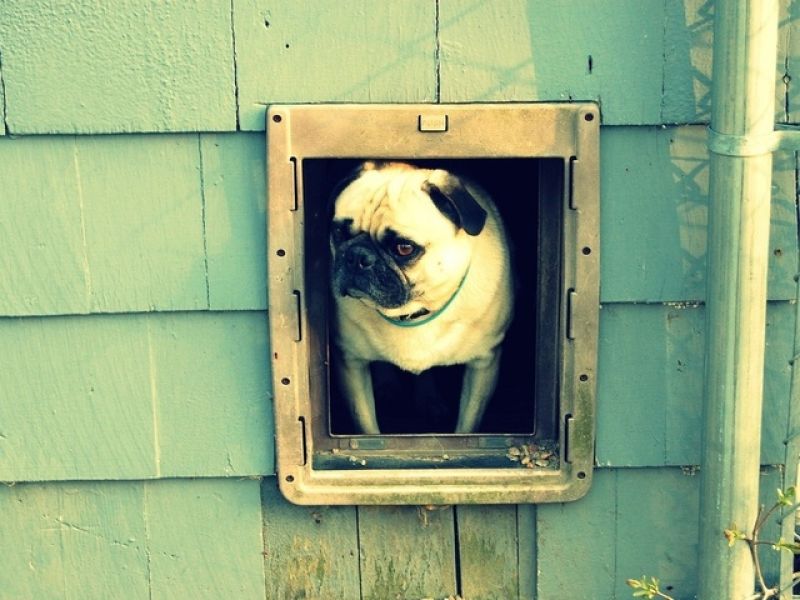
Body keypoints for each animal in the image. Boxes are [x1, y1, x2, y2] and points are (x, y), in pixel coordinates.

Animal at [330, 161, 512, 432]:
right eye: (339, 233)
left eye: (404, 248)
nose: (357, 256)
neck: (413, 312)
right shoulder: (352, 363)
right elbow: (367, 425)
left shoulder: (483, 364)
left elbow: (467, 424)